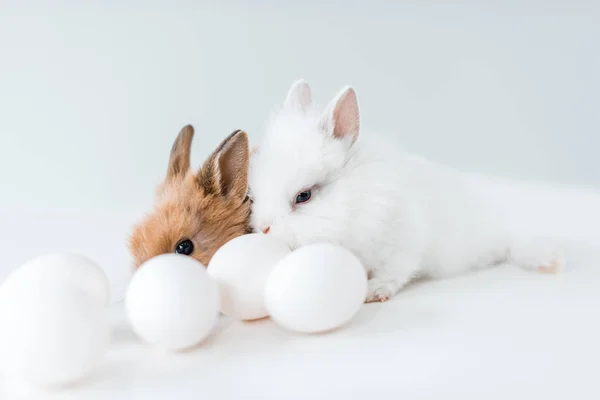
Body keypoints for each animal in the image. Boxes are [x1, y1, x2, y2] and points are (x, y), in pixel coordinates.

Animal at [248, 79, 564, 302]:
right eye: (254, 190)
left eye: (304, 196)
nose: (263, 228)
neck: (354, 201)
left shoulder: (400, 245)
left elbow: (395, 273)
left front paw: (374, 292)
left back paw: (548, 262)